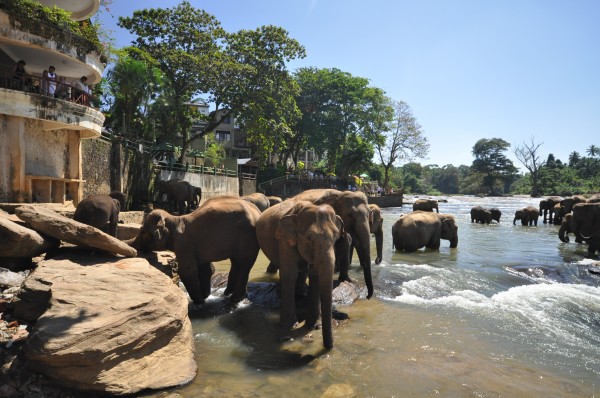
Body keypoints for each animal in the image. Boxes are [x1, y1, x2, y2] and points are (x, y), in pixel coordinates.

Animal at [130, 197, 262, 304]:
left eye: (143, 232)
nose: (140, 250)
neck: (175, 219)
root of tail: (258, 212)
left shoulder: (183, 245)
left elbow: (187, 270)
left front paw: (199, 301)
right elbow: (206, 268)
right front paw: (205, 296)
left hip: (246, 237)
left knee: (244, 264)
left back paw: (235, 299)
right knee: (236, 262)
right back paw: (228, 294)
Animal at [255, 199, 350, 348]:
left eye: (336, 238)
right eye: (309, 237)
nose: (330, 345)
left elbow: (315, 274)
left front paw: (314, 326)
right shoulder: (284, 240)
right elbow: (289, 273)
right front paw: (288, 326)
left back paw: (301, 293)